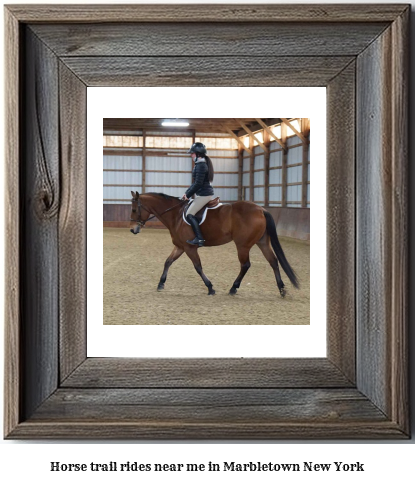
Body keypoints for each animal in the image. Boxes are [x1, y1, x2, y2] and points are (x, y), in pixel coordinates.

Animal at [130, 192, 300, 298]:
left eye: (134, 209)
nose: (132, 229)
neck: (176, 215)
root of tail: (261, 209)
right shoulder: (180, 247)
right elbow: (168, 262)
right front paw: (160, 284)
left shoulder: (190, 248)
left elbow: (198, 267)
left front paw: (210, 288)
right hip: (262, 242)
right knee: (273, 261)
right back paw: (282, 290)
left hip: (243, 245)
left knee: (245, 265)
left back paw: (233, 288)